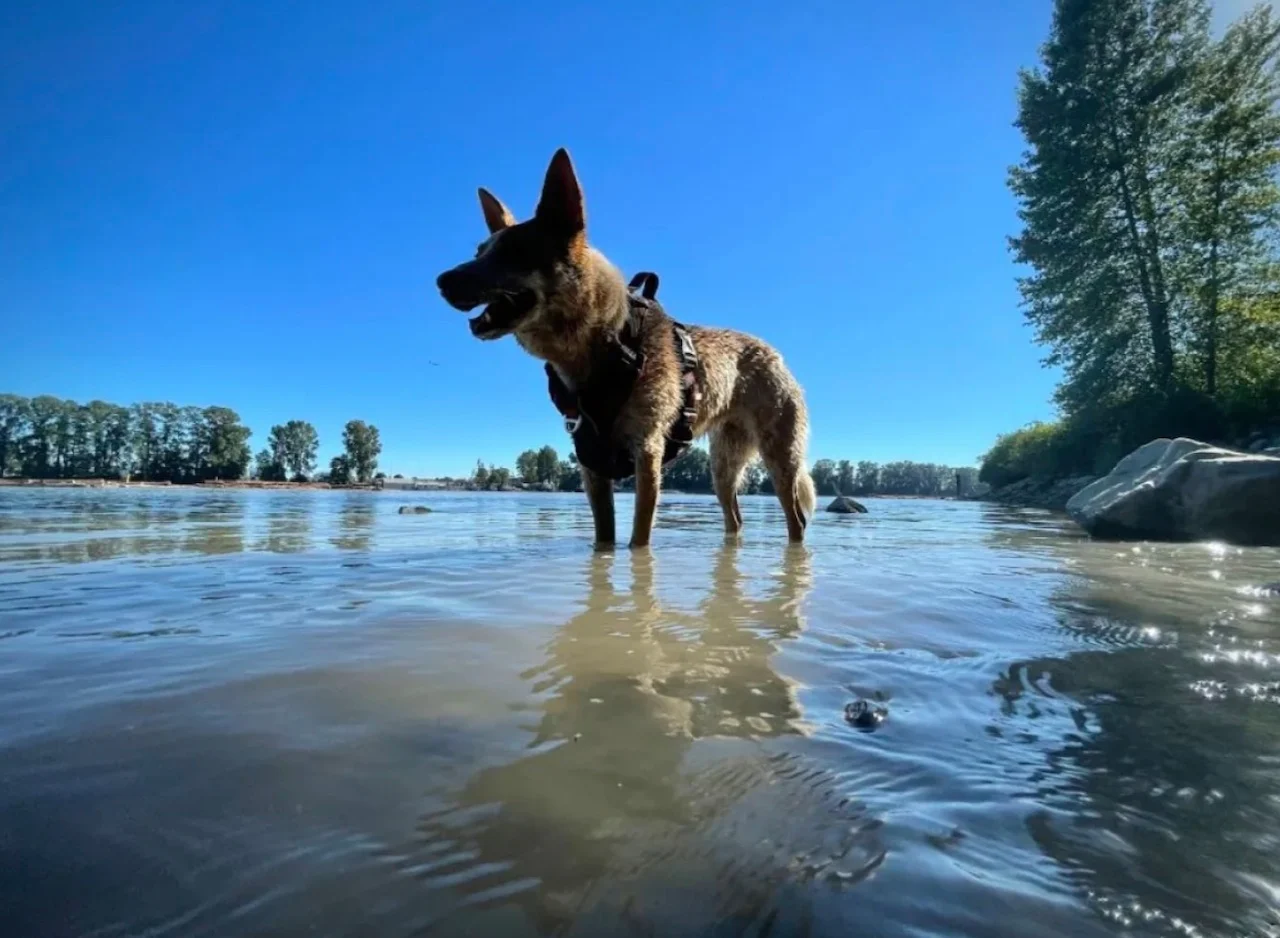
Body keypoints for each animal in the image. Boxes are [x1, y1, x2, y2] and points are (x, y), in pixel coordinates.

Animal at [440, 146, 814, 547]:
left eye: (515, 250)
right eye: (479, 252)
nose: (441, 281)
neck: (602, 346)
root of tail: (775, 355)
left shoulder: (647, 452)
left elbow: (639, 538)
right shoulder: (591, 462)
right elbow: (604, 537)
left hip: (780, 458)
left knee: (796, 519)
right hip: (724, 464)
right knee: (736, 519)